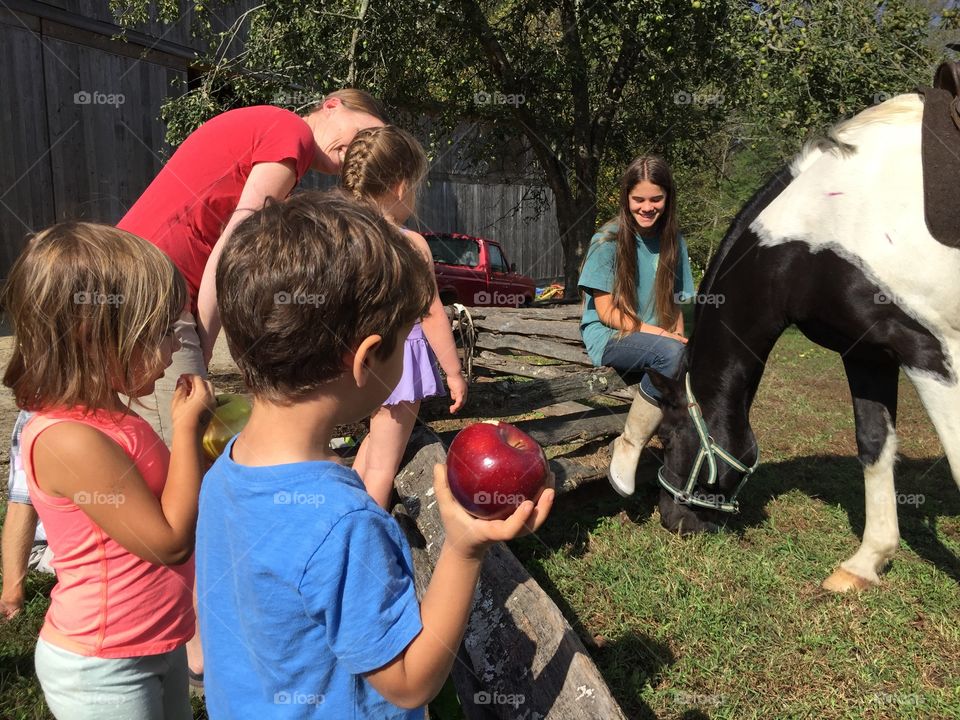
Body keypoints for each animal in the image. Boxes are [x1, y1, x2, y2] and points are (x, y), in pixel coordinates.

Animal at [652, 93, 960, 592]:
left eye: (665, 435)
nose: (671, 518)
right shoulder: (868, 353)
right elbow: (873, 445)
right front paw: (865, 562)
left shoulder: (931, 352)